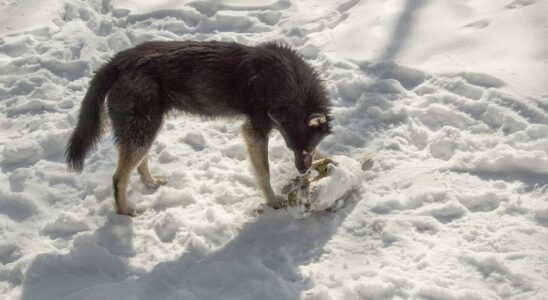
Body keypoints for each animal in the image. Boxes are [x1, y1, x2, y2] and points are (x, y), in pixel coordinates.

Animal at [64, 41, 330, 216]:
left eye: (305, 149)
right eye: (291, 148)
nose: (303, 171)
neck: (288, 83)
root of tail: (118, 61)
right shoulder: (254, 132)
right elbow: (264, 174)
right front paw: (273, 201)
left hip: (147, 129)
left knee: (139, 164)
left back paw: (151, 183)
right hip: (142, 131)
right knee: (119, 177)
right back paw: (124, 211)